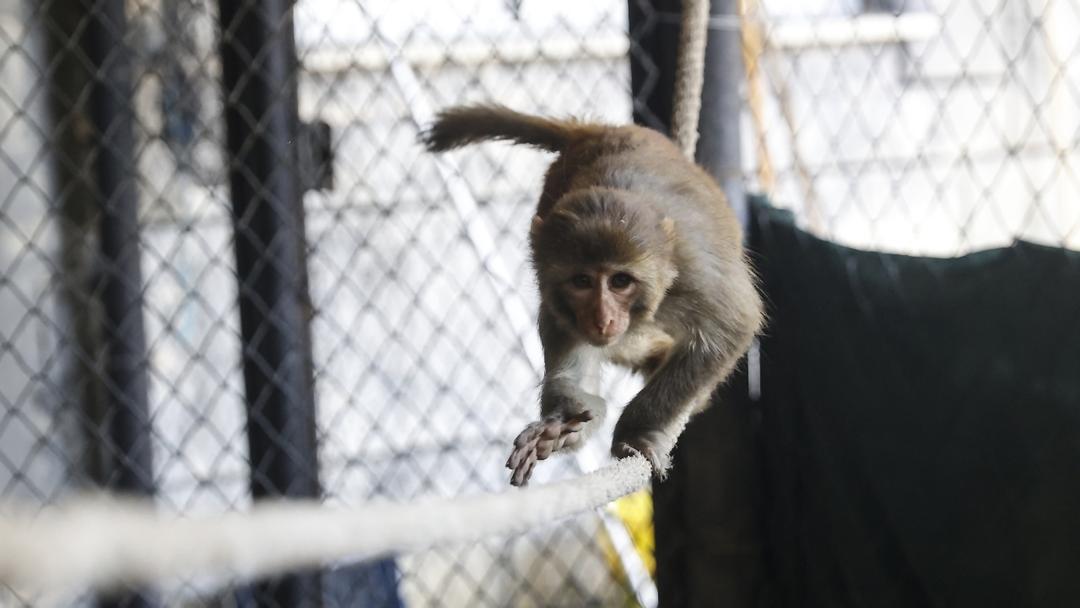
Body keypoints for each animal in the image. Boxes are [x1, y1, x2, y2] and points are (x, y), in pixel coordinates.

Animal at [422, 105, 763, 486]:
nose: (602, 318)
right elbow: (566, 340)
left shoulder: (694, 271)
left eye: (620, 281)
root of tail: (600, 131)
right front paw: (560, 423)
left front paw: (637, 432)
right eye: (582, 281)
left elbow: (729, 327)